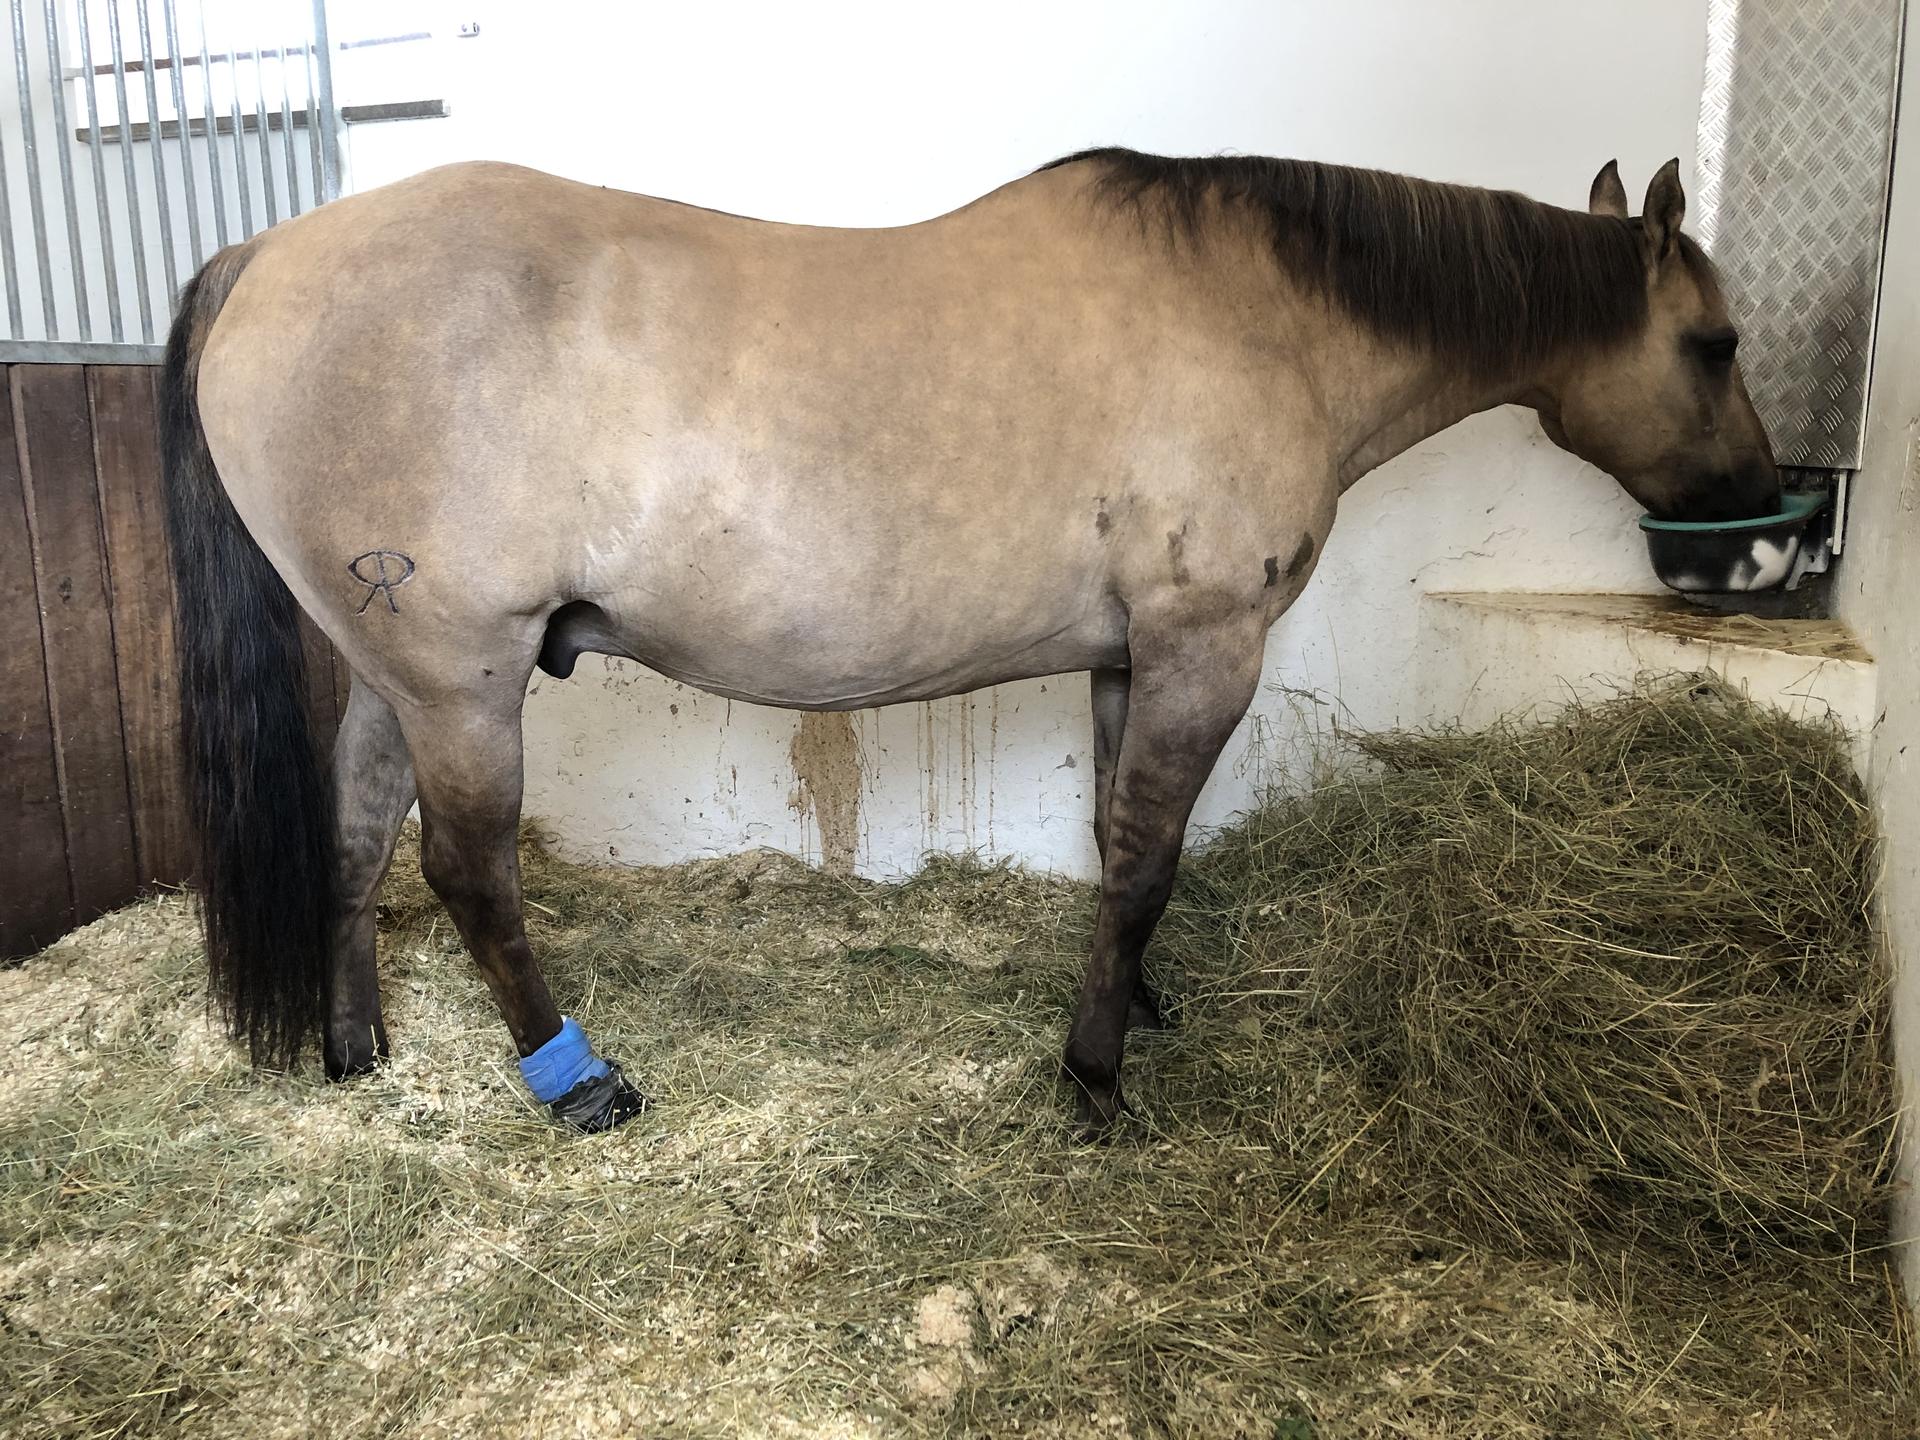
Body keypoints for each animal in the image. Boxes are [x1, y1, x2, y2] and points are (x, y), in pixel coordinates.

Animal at [162, 149, 1779, 1133]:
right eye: (1714, 345)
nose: (1761, 539)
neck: (1271, 318)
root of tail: (265, 255)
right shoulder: (1205, 649)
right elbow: (1147, 855)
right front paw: (1095, 1076)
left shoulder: (1133, 658)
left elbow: (1124, 840)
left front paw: (1135, 1003)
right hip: (465, 675)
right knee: (466, 870)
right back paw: (576, 1081)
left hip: (404, 670)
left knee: (358, 835)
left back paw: (354, 1051)